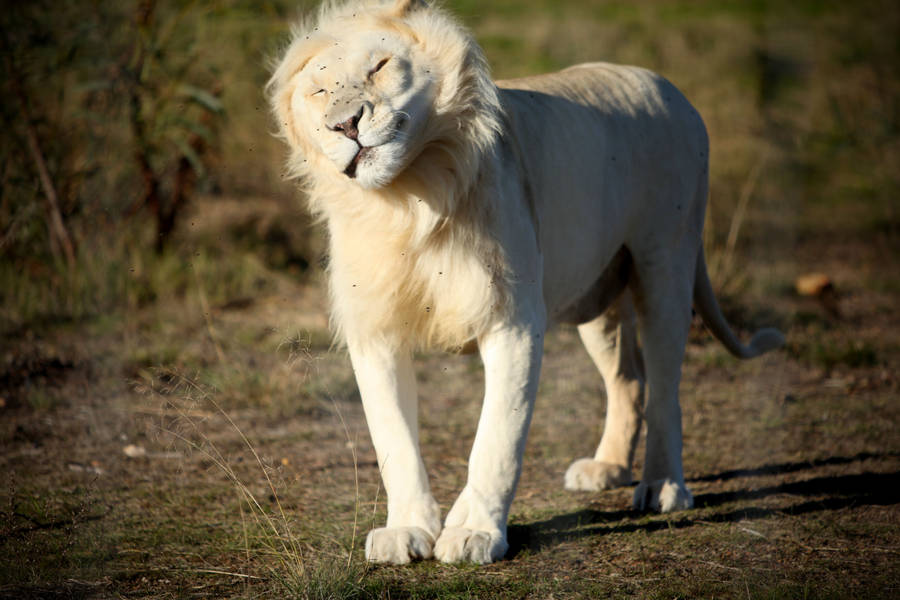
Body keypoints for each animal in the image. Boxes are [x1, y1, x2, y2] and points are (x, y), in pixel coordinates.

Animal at [268, 0, 784, 565]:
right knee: (628, 380)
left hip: (665, 264)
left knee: (666, 387)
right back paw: (607, 468)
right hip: (600, 298)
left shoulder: (512, 320)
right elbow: (393, 439)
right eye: (319, 91)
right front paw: (406, 530)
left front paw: (473, 532)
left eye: (380, 66)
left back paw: (663, 486)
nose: (345, 124)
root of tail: (665, 85)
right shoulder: (376, 329)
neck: (408, 198)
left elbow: (498, 436)